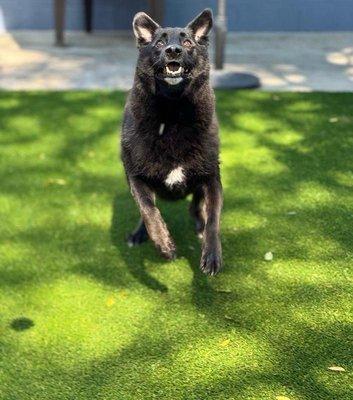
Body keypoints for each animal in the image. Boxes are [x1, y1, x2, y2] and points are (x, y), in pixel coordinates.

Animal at [119, 8, 221, 276]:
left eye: (187, 43)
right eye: (159, 43)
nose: (173, 50)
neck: (172, 111)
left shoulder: (211, 177)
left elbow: (214, 218)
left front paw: (212, 255)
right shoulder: (135, 176)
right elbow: (148, 210)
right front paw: (164, 244)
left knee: (196, 205)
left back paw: (199, 226)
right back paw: (140, 234)